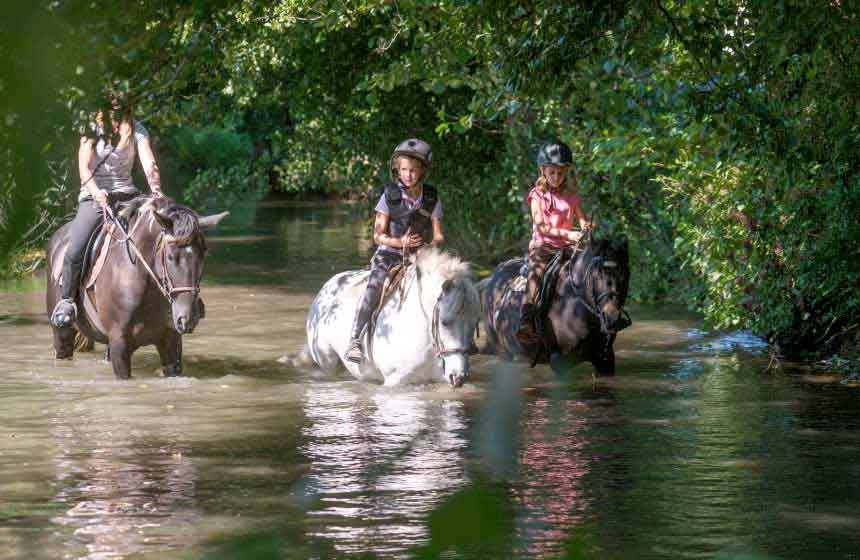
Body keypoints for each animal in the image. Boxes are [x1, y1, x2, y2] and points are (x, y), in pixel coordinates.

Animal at [46, 195, 228, 378]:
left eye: (204, 254)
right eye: (170, 256)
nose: (187, 319)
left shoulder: (170, 340)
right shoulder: (119, 343)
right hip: (62, 334)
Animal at [302, 247, 480, 388]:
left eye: (475, 324)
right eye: (444, 322)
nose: (459, 377)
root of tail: (327, 287)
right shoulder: (395, 381)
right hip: (327, 362)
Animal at [484, 237, 632, 376]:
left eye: (624, 273)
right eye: (596, 274)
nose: (612, 317)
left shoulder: (605, 359)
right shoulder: (559, 362)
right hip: (503, 353)